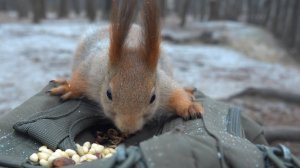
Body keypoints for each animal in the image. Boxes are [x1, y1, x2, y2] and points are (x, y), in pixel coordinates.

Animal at [49, 0, 204, 134]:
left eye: (153, 97)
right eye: (108, 94)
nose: (128, 129)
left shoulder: (163, 86)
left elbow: (176, 93)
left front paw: (189, 107)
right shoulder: (92, 71)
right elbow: (79, 79)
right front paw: (68, 87)